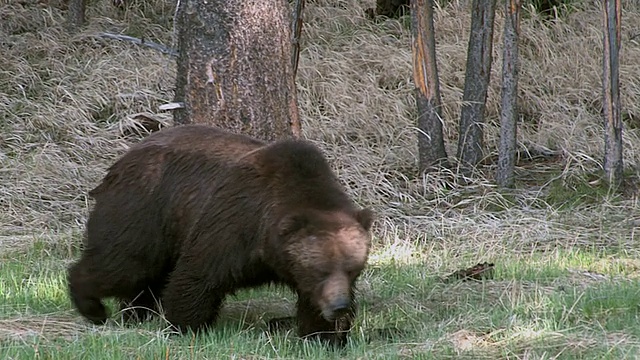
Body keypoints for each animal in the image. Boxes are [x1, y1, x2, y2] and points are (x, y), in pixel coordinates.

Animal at [67, 124, 372, 346]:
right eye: (320, 270)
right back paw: (93, 307)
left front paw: (324, 336)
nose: (339, 306)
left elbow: (311, 305)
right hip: (143, 208)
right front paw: (184, 326)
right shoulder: (234, 222)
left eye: (353, 269)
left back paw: (138, 313)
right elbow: (199, 275)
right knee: (124, 262)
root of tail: (125, 157)